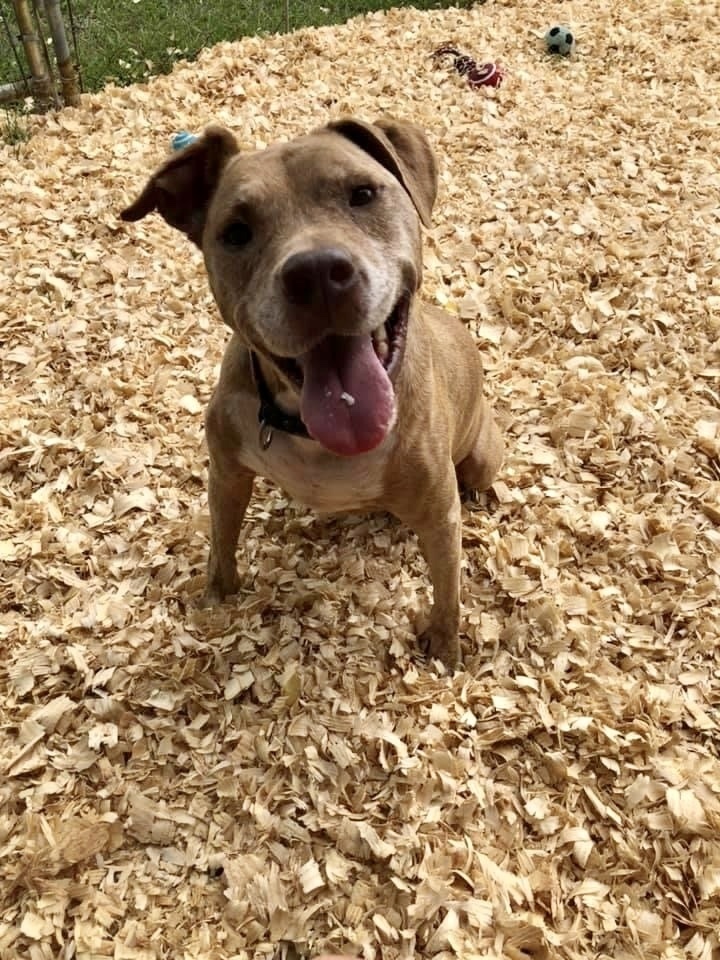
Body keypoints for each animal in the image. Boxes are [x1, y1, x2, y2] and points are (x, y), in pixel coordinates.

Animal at [121, 116, 504, 664]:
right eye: (236, 232)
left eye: (362, 194)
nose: (317, 272)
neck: (314, 437)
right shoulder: (227, 473)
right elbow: (221, 542)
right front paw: (217, 600)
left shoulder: (438, 515)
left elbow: (448, 591)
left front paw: (445, 650)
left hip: (481, 457)